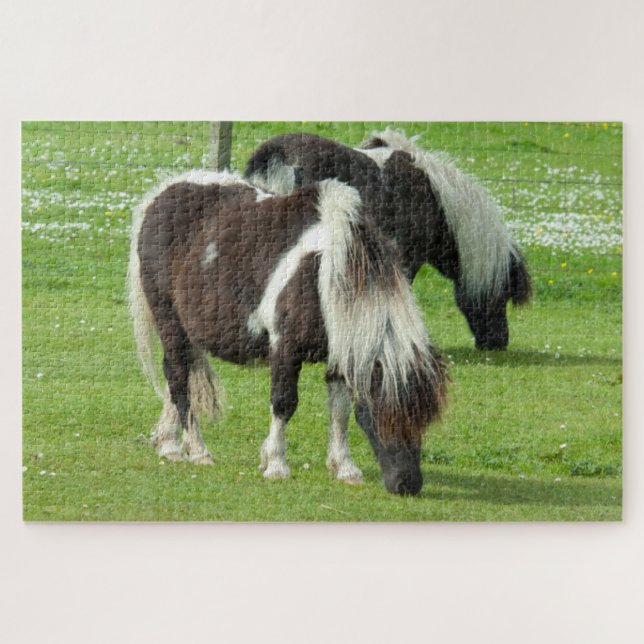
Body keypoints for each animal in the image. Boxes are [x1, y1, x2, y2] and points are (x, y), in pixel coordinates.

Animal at [128, 170, 447, 496]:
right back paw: (194, 450)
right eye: (383, 413)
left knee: (182, 377)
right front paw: (276, 464)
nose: (407, 484)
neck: (324, 274)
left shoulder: (341, 353)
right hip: (169, 322)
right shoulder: (285, 348)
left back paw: (167, 441)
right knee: (177, 376)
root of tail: (161, 195)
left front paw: (344, 467)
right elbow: (284, 403)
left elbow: (340, 410)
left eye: (425, 419)